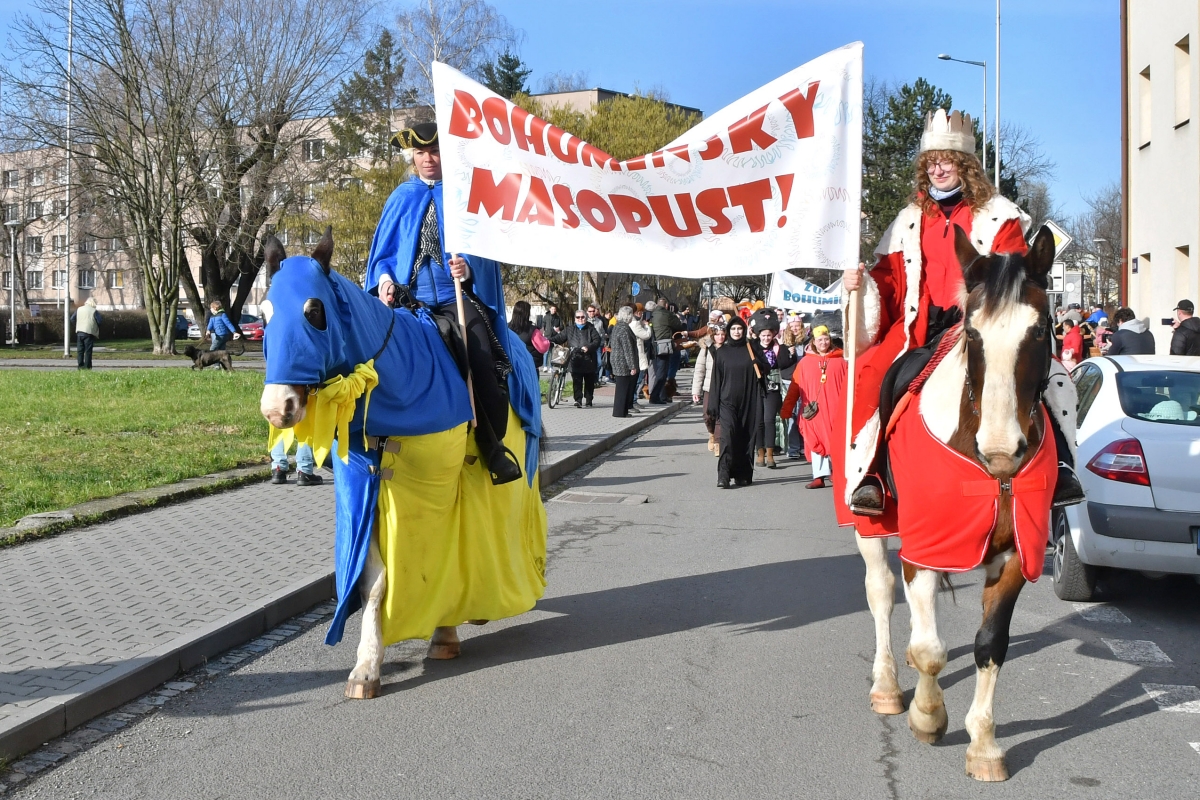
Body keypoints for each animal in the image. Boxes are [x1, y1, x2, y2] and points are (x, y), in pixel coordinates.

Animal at [854, 225, 1060, 782]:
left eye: (1041, 330)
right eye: (972, 334)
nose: (1002, 451)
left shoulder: (1015, 556)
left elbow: (990, 645)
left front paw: (984, 745)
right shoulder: (924, 548)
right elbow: (930, 650)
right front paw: (928, 716)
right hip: (872, 528)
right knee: (880, 593)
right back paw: (887, 685)